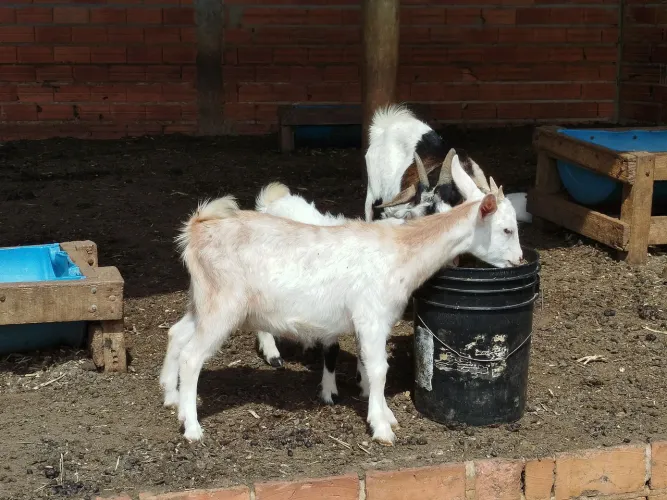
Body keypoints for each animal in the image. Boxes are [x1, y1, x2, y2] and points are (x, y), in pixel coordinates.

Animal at [159, 154, 523, 445]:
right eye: (507, 229)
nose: (519, 260)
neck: (401, 251)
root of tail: (197, 230)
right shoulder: (371, 316)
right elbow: (378, 369)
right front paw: (382, 428)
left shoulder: (376, 323)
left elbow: (370, 365)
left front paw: (385, 415)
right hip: (223, 305)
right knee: (192, 356)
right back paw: (192, 429)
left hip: (202, 301)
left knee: (176, 333)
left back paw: (172, 399)